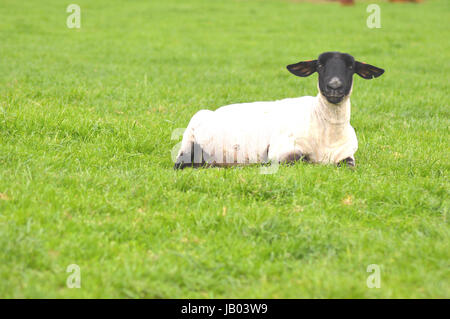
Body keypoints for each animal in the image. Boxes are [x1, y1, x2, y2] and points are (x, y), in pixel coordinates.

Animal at [174, 51, 384, 169]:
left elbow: (349, 165)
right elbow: (299, 158)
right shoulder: (280, 150)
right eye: (319, 65)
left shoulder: (347, 156)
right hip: (187, 146)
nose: (334, 86)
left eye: (351, 66)